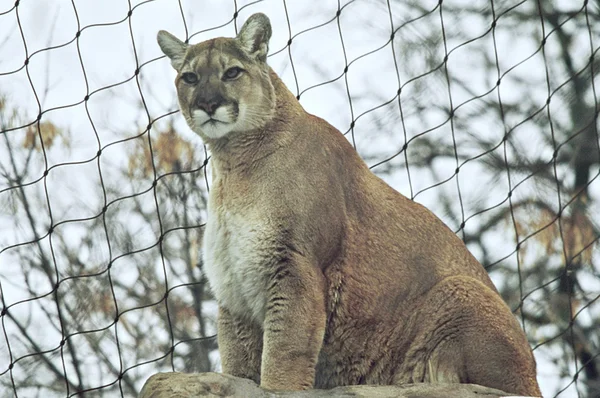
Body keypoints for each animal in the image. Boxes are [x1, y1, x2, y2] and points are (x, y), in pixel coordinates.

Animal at [157, 11, 540, 394]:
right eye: (190, 77)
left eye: (232, 72)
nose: (207, 104)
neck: (234, 164)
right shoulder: (233, 289)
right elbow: (237, 362)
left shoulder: (295, 267)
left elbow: (284, 355)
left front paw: (276, 386)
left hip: (462, 294)